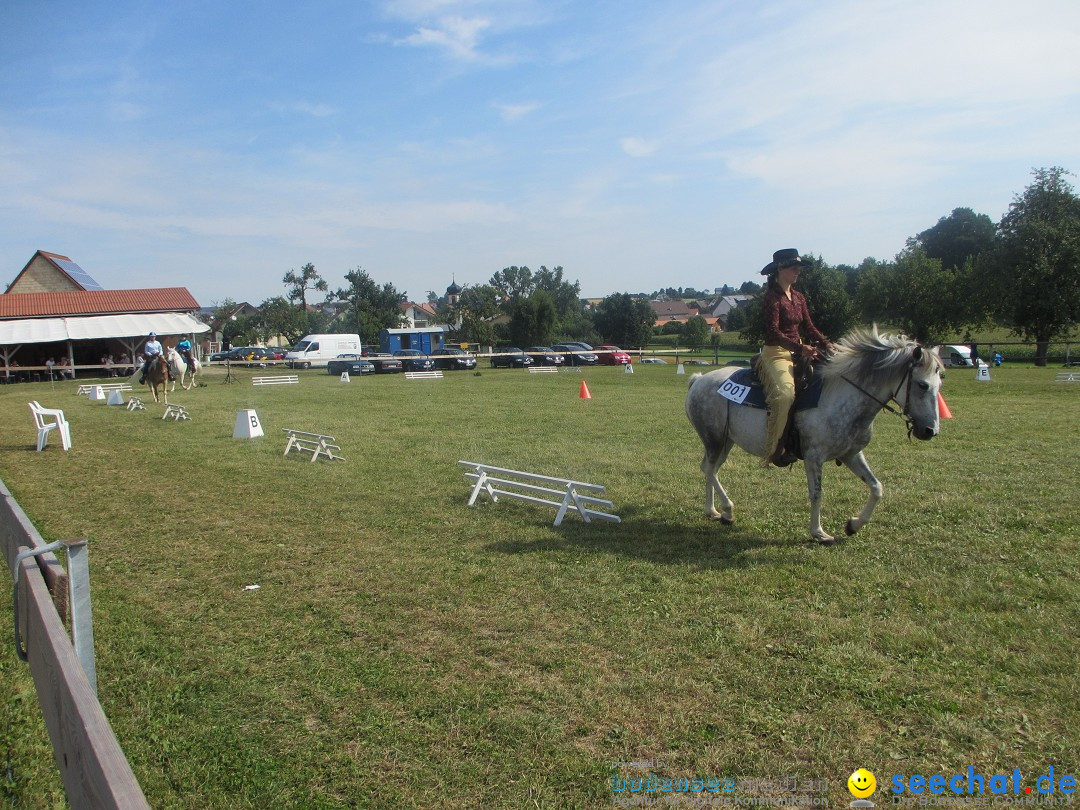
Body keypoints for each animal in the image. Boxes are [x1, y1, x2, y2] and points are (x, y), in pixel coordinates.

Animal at [686, 326, 941, 546]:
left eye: (939, 384)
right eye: (922, 385)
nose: (930, 431)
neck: (841, 396)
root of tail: (698, 380)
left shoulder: (851, 454)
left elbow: (876, 487)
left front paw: (853, 525)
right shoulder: (814, 457)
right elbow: (817, 493)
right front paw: (819, 533)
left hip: (725, 441)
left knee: (710, 469)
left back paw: (714, 511)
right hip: (714, 439)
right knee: (709, 468)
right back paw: (727, 510)